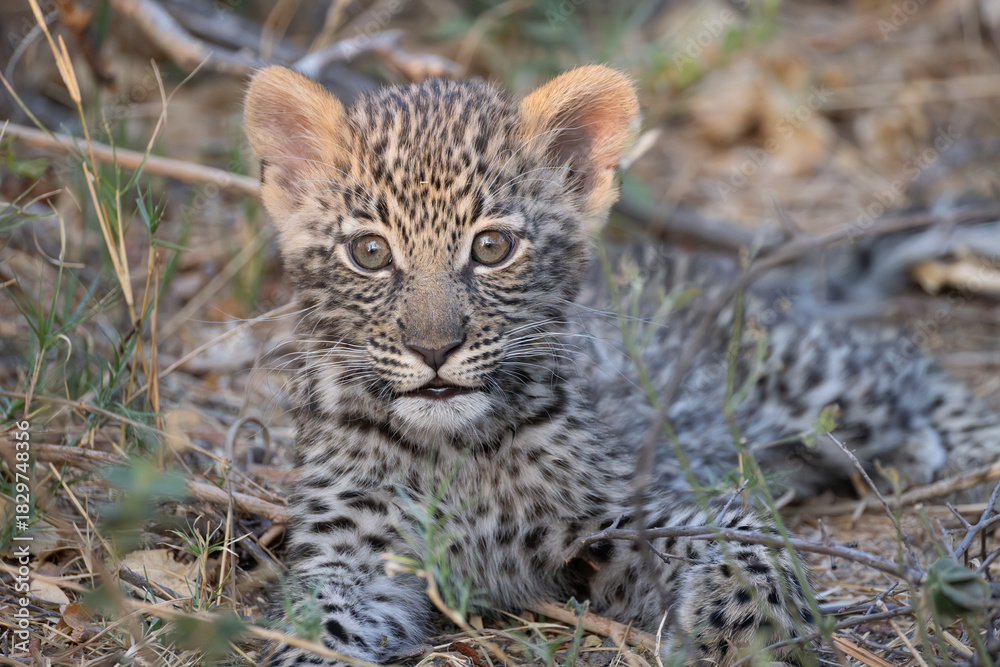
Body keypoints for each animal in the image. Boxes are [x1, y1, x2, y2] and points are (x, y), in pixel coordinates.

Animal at [243, 64, 1000, 666]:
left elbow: (751, 549)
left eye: (491, 248)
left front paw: (728, 631)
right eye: (369, 253)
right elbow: (313, 620)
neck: (449, 448)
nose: (434, 349)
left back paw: (962, 450)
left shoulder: (643, 508)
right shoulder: (352, 556)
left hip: (803, 376)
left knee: (902, 364)